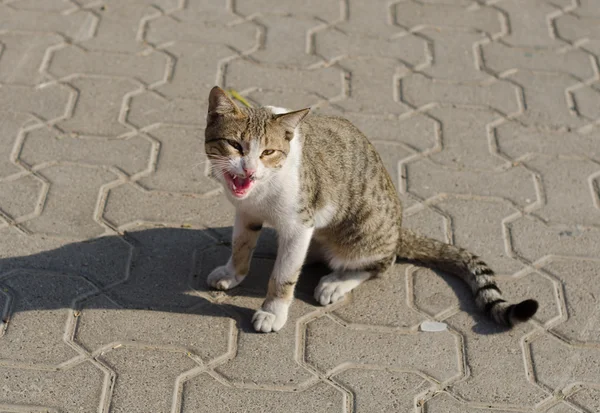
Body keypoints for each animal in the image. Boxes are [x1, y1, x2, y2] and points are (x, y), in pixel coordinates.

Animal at [204, 86, 536, 332]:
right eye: (235, 145)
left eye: (268, 152)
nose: (248, 168)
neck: (261, 190)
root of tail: (399, 229)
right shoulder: (246, 213)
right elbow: (241, 245)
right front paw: (233, 273)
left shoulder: (299, 224)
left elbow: (283, 276)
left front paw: (273, 311)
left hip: (358, 234)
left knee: (380, 263)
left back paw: (337, 282)